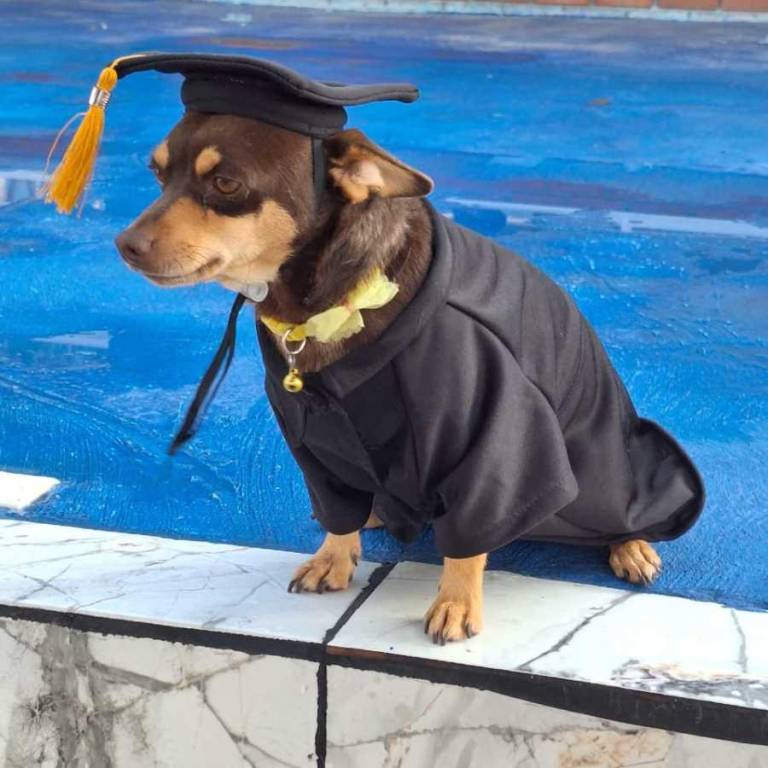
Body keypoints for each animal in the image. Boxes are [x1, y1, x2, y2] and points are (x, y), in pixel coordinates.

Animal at [112, 112, 704, 640]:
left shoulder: (493, 435)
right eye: (157, 174)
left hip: (608, 479)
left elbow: (469, 537)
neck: (320, 306)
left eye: (226, 183)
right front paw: (335, 555)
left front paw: (456, 603)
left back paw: (632, 546)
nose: (124, 245)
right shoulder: (313, 439)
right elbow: (337, 513)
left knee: (623, 515)